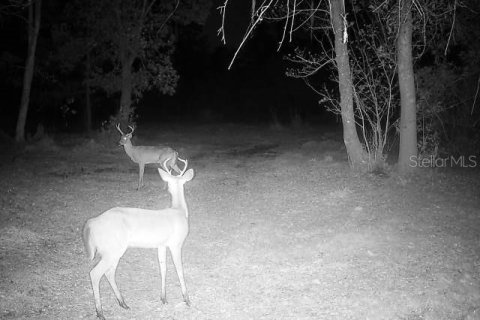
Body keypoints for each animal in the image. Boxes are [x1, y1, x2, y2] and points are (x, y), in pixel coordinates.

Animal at [82, 158, 193, 320]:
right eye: (170, 183)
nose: (167, 190)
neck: (178, 210)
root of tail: (91, 223)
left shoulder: (161, 245)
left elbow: (163, 268)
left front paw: (163, 298)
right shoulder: (176, 243)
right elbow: (180, 269)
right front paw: (186, 299)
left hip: (113, 251)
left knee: (109, 272)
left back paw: (123, 303)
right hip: (111, 249)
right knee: (95, 273)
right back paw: (100, 312)